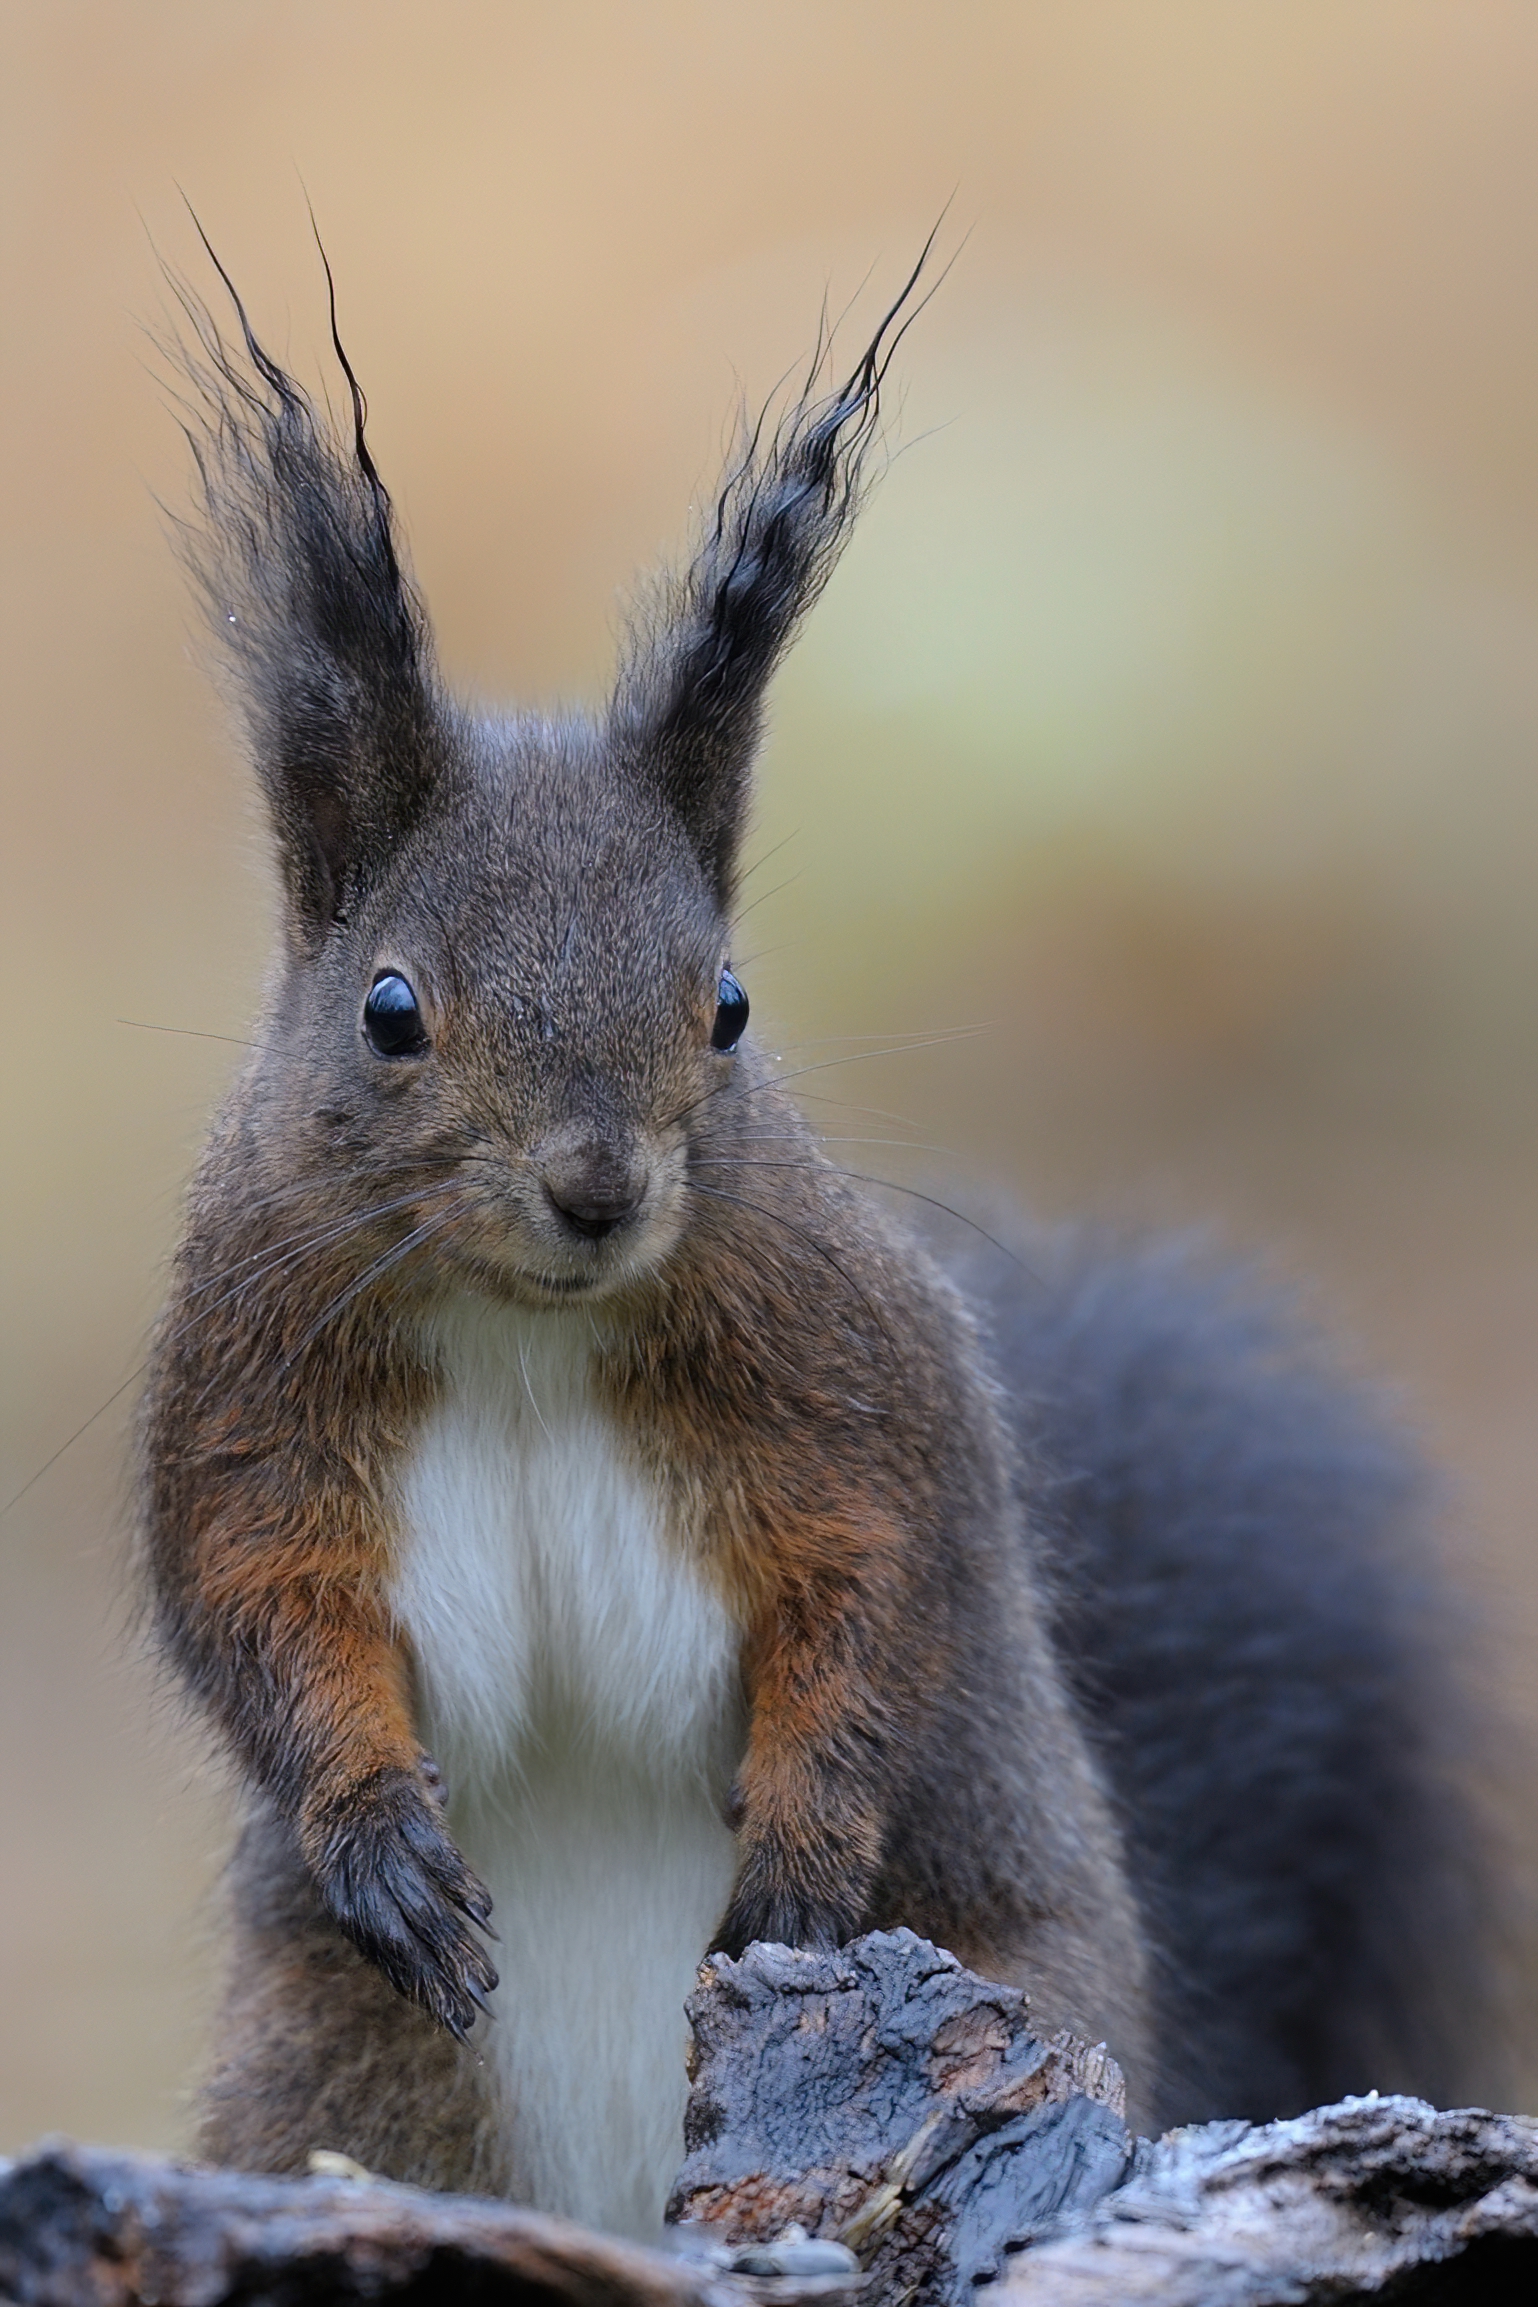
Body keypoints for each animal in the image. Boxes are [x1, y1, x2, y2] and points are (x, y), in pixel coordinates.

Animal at [140, 245, 1504, 2239]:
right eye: (387, 1008)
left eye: (726, 1004)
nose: (598, 1187)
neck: (526, 1325)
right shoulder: (247, 1380)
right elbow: (255, 1603)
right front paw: (372, 1828)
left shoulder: (851, 1379)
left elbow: (874, 1597)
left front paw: (800, 1849)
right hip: (339, 2065)